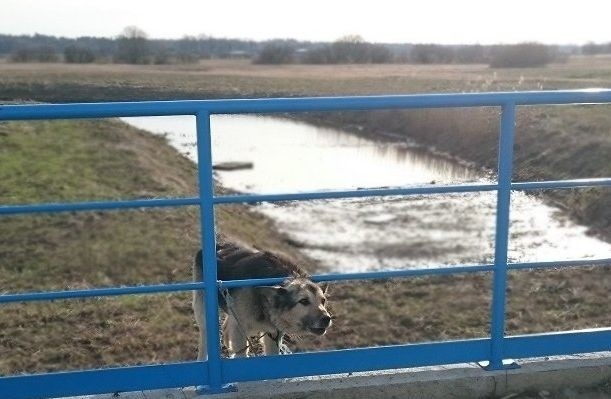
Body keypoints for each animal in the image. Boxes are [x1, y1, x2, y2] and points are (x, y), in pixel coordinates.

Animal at [194, 239, 332, 360]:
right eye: (304, 301)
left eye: (323, 301)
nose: (327, 319)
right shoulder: (239, 331)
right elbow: (242, 354)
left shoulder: (273, 335)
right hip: (204, 314)